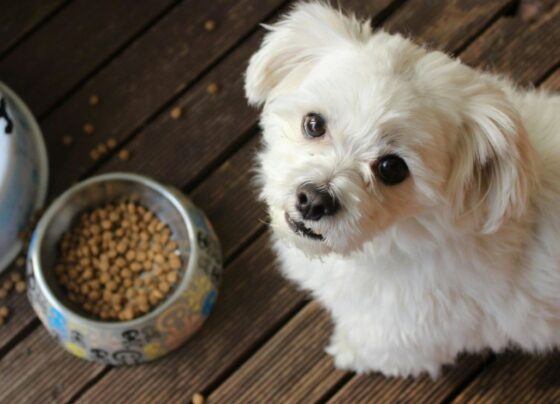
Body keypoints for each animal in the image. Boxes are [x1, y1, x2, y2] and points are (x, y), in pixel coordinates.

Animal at [244, 1, 560, 378]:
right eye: (314, 123)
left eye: (392, 168)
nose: (313, 200)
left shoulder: (406, 336)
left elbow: (374, 348)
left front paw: (346, 350)